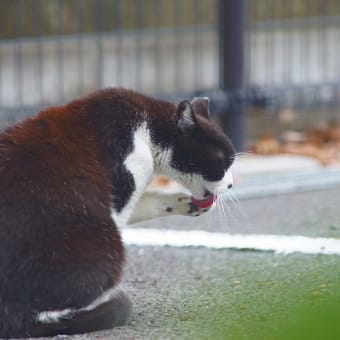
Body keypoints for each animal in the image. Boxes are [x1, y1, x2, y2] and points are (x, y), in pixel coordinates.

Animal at [0, 87, 234, 338]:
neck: (147, 129)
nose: (231, 184)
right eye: (221, 164)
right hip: (101, 242)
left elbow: (145, 203)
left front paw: (184, 203)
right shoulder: (122, 184)